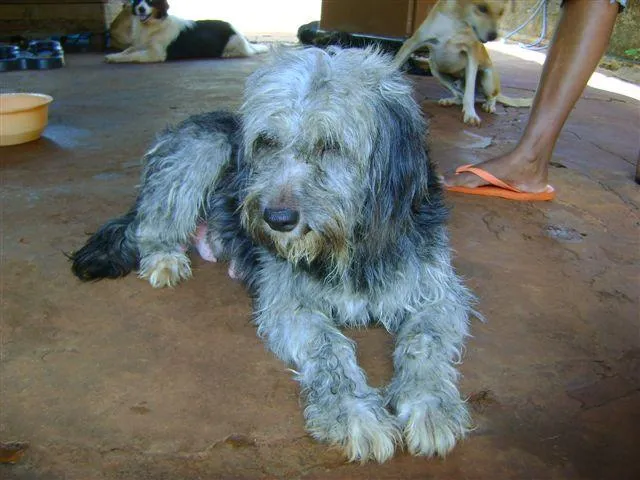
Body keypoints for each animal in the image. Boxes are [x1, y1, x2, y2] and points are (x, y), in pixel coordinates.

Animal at [74, 47, 476, 464]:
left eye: (331, 145)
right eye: (267, 141)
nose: (277, 219)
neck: (350, 247)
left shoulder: (438, 295)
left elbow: (424, 342)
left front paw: (431, 406)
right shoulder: (290, 304)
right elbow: (329, 347)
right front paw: (353, 413)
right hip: (202, 150)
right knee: (150, 225)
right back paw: (164, 258)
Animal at [106, 0, 266, 63]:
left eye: (151, 1)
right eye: (137, 1)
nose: (141, 9)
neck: (153, 25)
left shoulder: (156, 54)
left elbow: (133, 55)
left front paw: (116, 58)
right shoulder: (141, 44)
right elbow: (129, 49)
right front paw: (113, 55)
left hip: (234, 41)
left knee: (245, 52)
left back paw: (228, 54)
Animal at [392, 0, 532, 125]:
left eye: (502, 13)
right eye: (482, 8)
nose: (493, 37)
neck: (457, 20)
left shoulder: (472, 54)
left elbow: (469, 91)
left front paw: (470, 114)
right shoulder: (412, 43)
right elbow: (394, 65)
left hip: (488, 79)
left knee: (490, 96)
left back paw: (489, 105)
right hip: (435, 70)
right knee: (460, 94)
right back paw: (451, 100)